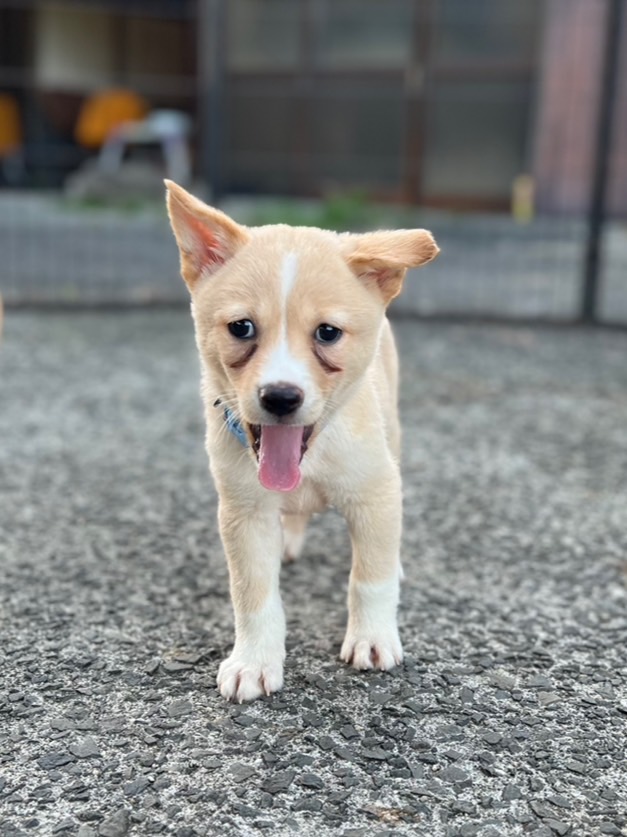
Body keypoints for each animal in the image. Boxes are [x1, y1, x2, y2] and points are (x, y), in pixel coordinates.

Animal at [167, 181, 442, 700]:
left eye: (328, 333)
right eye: (241, 327)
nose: (280, 396)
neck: (312, 456)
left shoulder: (375, 493)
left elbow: (369, 579)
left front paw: (373, 638)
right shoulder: (244, 512)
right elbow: (252, 595)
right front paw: (254, 661)